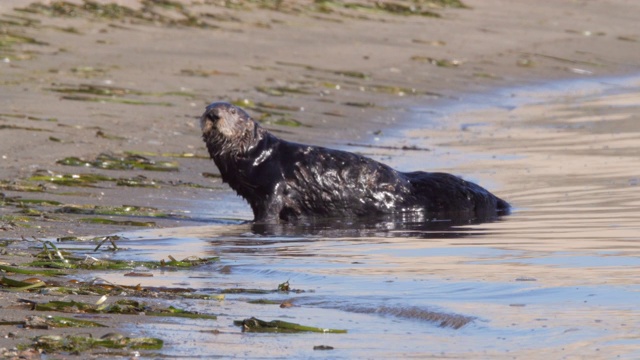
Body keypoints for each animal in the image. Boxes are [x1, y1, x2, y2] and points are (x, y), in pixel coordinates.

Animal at [200, 101, 510, 224]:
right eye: (206, 108)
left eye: (232, 112)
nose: (213, 114)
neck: (256, 155)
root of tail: (497, 199)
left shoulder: (273, 182)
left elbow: (270, 209)